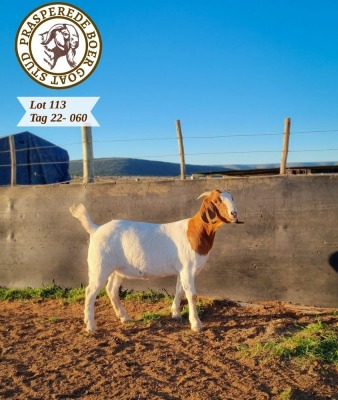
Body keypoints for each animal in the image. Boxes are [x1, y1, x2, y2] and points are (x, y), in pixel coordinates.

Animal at [69, 189, 240, 332]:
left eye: (232, 197)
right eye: (217, 201)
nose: (234, 213)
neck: (195, 231)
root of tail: (95, 228)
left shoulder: (181, 269)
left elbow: (179, 290)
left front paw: (176, 314)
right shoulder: (188, 269)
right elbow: (191, 295)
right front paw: (196, 324)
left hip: (116, 270)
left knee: (111, 290)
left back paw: (124, 318)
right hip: (99, 266)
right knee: (90, 291)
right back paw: (91, 326)